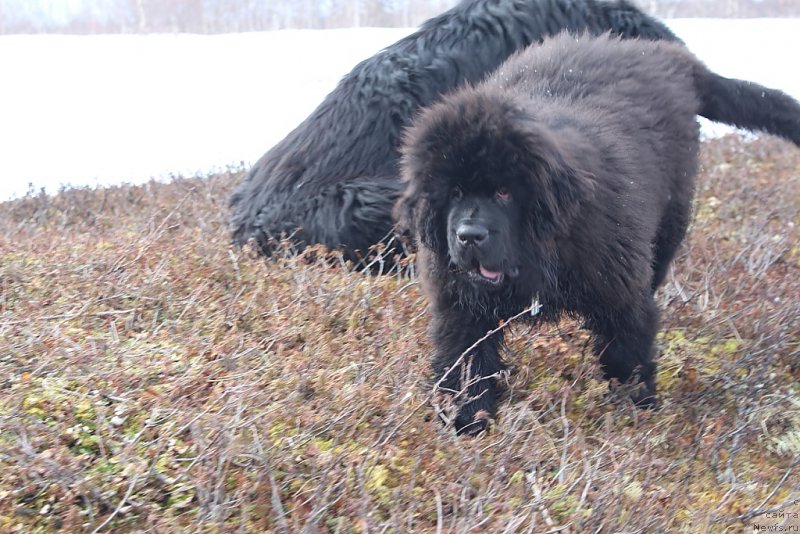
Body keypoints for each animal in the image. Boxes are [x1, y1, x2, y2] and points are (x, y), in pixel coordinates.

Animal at [398, 32, 800, 436]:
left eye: (504, 192)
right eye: (454, 192)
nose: (469, 235)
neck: (539, 255)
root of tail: (668, 55)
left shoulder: (619, 291)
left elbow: (627, 351)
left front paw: (636, 414)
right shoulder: (460, 305)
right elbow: (466, 362)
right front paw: (467, 422)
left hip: (670, 221)